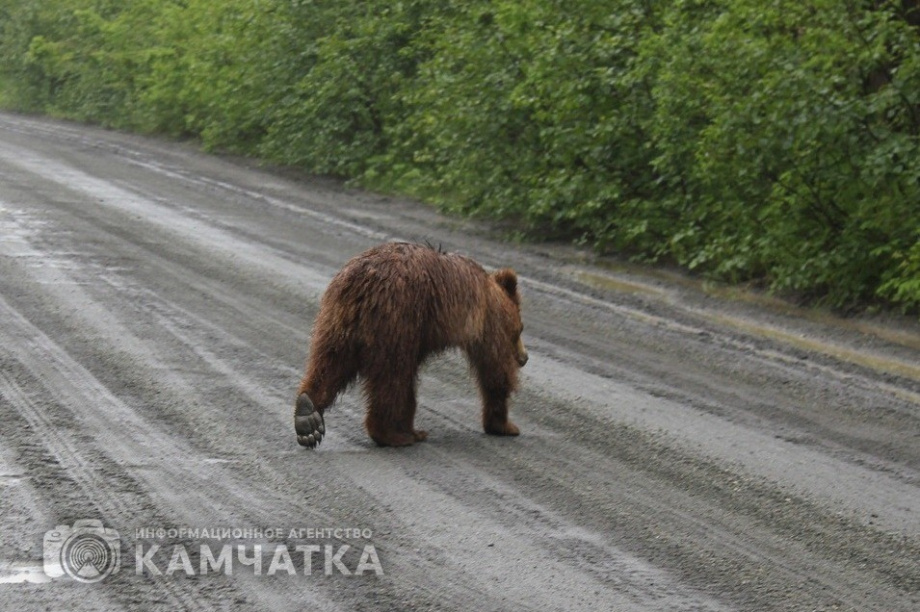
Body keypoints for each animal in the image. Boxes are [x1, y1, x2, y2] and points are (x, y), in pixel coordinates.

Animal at [293, 242, 528, 448]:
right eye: (520, 329)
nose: (524, 358)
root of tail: (362, 283)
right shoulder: (487, 323)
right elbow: (496, 368)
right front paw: (505, 425)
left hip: (337, 322)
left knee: (331, 363)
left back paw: (308, 417)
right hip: (398, 318)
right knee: (392, 377)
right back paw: (392, 435)